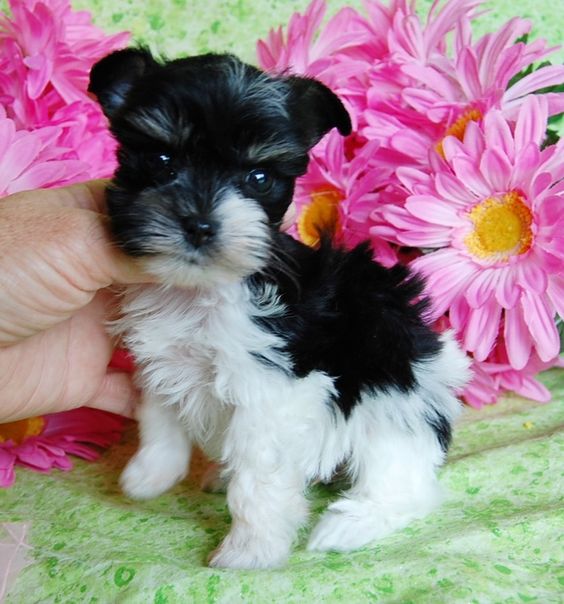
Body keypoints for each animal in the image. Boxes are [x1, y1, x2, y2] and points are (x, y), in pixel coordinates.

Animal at [89, 48, 472, 572]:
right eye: (162, 160)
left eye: (259, 178)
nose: (199, 224)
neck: (202, 291)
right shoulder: (163, 356)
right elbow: (159, 414)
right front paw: (150, 474)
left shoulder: (272, 390)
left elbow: (259, 475)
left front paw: (251, 550)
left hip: (395, 399)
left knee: (406, 485)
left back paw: (348, 525)